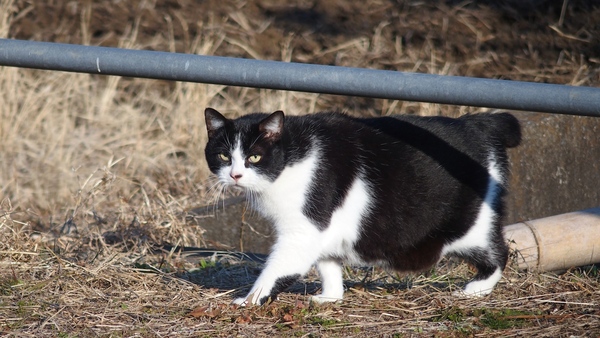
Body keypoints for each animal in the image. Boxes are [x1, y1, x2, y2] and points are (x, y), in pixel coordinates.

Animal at [203, 108, 520, 306]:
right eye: (223, 156)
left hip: (469, 227)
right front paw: (331, 297)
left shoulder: (303, 229)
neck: (291, 160)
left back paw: (475, 290)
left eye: (254, 157)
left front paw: (250, 300)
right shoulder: (323, 231)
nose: (235, 175)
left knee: (498, 252)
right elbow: (327, 264)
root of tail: (479, 123)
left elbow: (276, 270)